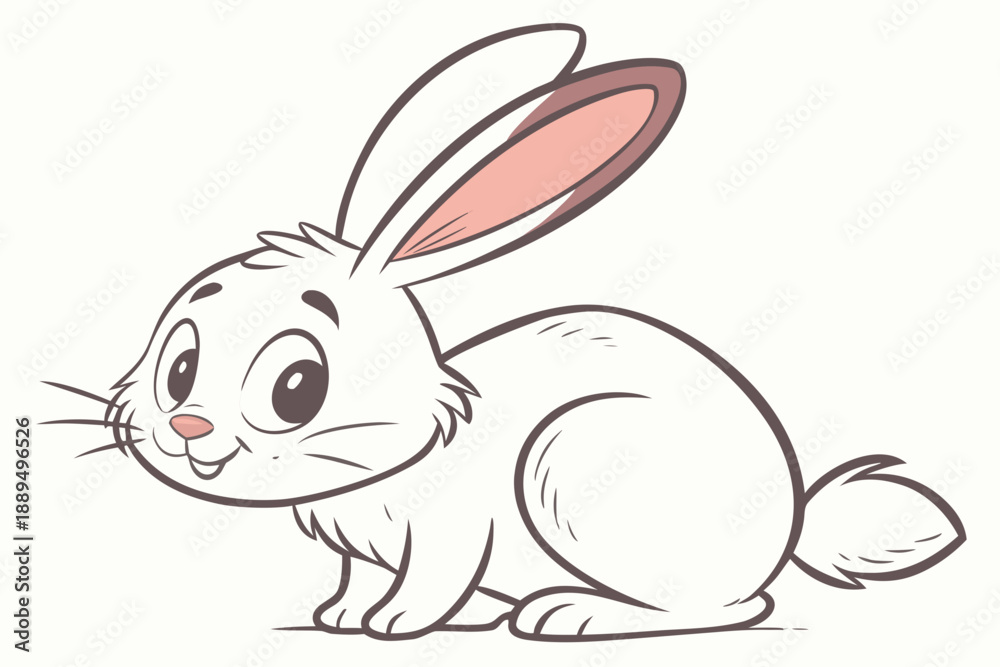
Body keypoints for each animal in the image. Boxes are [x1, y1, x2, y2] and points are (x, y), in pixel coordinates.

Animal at [48, 24, 964, 641]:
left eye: (295, 386)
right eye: (179, 366)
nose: (187, 425)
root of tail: (789, 527)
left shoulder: (451, 534)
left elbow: (430, 580)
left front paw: (392, 624)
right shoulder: (362, 544)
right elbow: (354, 574)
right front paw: (340, 614)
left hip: (573, 467)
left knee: (735, 605)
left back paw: (570, 615)